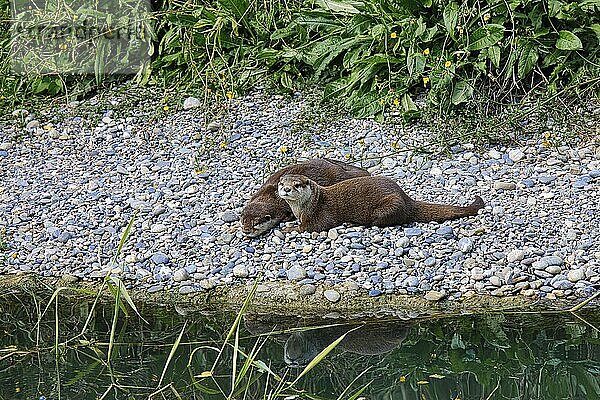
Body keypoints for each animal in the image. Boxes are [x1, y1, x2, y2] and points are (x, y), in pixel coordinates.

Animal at [278, 174, 486, 233]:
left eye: (296, 185)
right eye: (282, 183)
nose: (286, 189)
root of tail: (407, 199)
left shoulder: (321, 214)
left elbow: (312, 226)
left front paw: (290, 228)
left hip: (390, 206)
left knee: (376, 222)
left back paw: (352, 223)